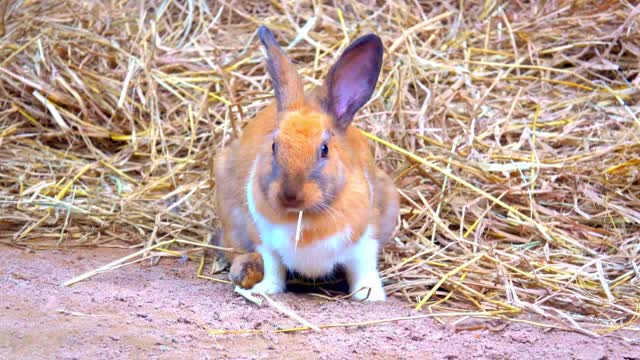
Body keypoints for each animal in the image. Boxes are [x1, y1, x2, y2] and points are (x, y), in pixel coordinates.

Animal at [212, 26, 398, 300]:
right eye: (274, 146)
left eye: (324, 150)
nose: (290, 195)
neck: (304, 217)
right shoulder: (265, 241)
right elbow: (274, 268)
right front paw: (265, 289)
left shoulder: (365, 241)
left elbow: (363, 270)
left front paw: (371, 296)